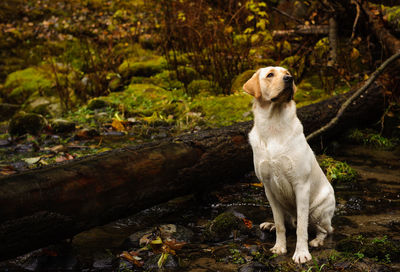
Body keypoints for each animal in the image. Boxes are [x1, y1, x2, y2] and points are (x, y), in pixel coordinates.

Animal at [244, 67, 334, 264]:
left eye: (287, 72)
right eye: (270, 74)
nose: (289, 78)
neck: (273, 125)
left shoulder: (301, 185)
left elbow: (301, 228)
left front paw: (301, 253)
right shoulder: (269, 187)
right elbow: (280, 225)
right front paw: (279, 247)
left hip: (318, 210)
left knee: (324, 230)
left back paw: (317, 241)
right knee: (287, 223)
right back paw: (269, 224)